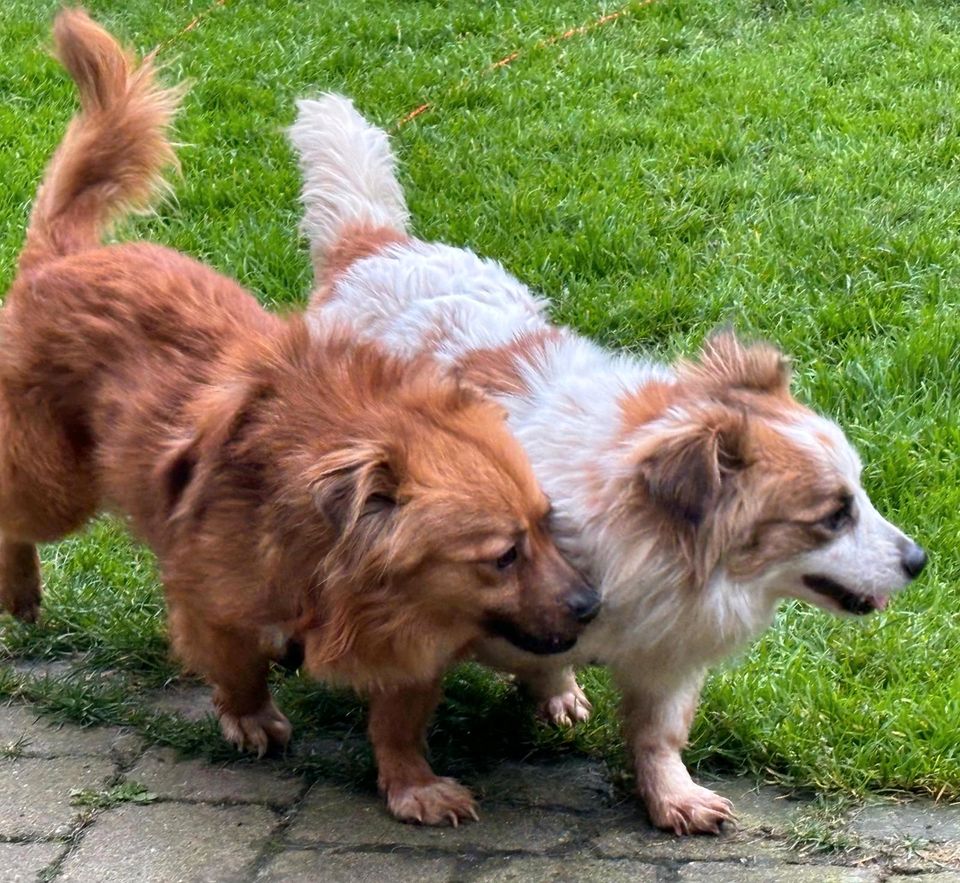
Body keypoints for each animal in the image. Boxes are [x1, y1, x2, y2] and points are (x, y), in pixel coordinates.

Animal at [0, 10, 596, 828]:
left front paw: (411, 782)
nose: (593, 604)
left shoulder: (411, 644)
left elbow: (399, 718)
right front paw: (250, 714)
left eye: (547, 524)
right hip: (55, 487)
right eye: (502, 555)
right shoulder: (208, 600)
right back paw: (19, 590)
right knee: (13, 520)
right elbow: (236, 662)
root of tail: (61, 260)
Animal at [286, 96, 928, 836]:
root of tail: (375, 245)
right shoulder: (412, 615)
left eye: (863, 493)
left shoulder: (668, 654)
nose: (920, 560)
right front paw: (413, 787)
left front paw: (672, 795)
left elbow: (658, 732)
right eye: (832, 515)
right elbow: (400, 712)